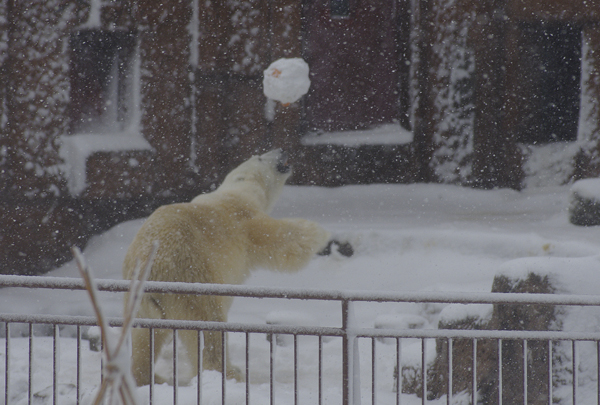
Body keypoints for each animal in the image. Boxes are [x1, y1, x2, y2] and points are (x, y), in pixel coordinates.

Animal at [120, 148, 328, 386]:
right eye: (260, 156)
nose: (281, 150)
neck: (237, 189)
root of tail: (150, 268)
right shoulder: (245, 218)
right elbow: (279, 237)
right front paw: (320, 233)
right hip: (191, 277)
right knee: (208, 325)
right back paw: (230, 373)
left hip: (139, 301)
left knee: (144, 335)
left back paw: (151, 376)